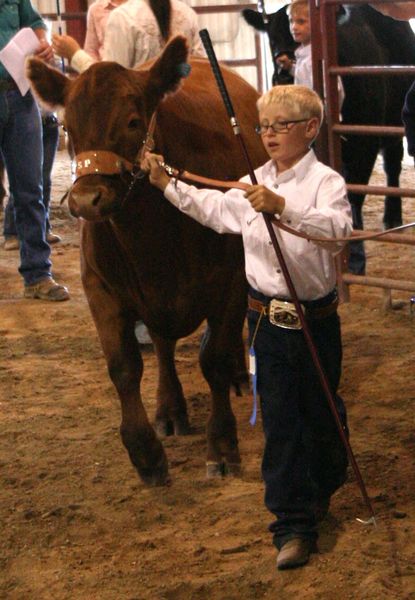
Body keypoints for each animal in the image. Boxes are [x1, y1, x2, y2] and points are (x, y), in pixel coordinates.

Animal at [27, 36, 268, 488]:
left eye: (134, 121)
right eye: (67, 127)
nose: (86, 200)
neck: (152, 240)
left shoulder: (228, 283)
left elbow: (213, 361)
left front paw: (222, 444)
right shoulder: (101, 288)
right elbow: (124, 367)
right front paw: (145, 451)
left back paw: (237, 377)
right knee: (162, 345)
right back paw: (169, 408)